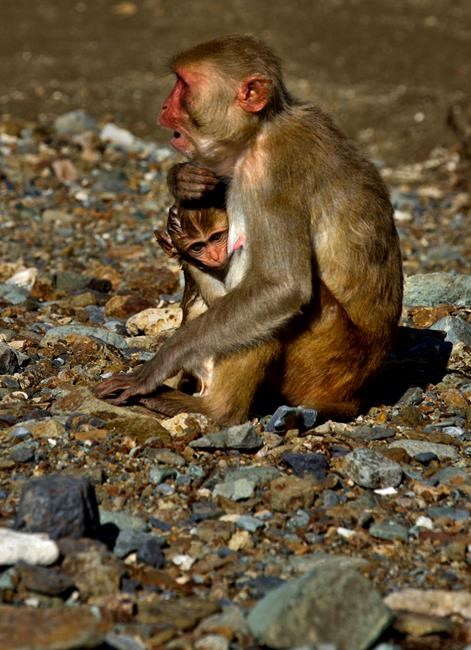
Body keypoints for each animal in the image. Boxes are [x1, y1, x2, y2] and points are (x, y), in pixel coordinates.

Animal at [94, 34, 403, 426]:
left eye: (183, 85)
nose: (164, 105)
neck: (260, 131)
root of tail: (355, 398)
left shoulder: (269, 175)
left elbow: (282, 286)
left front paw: (156, 367)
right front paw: (184, 180)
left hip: (326, 359)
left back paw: (215, 409)